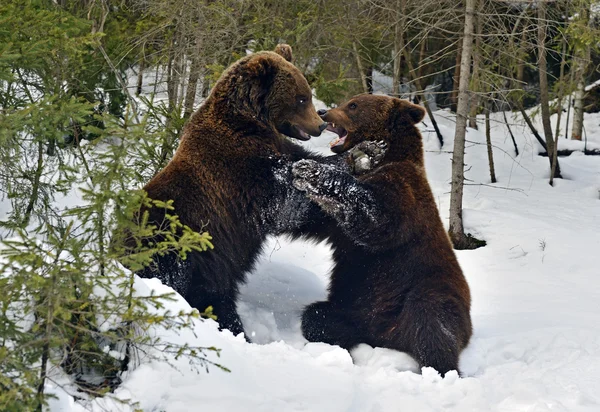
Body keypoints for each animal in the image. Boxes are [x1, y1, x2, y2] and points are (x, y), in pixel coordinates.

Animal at [292, 94, 474, 376]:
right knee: (316, 317)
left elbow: (377, 217)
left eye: (353, 105)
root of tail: (387, 337)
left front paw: (311, 170)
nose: (323, 112)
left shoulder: (405, 191)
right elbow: (309, 219)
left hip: (430, 288)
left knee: (432, 320)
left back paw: (440, 369)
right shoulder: (334, 224)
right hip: (355, 305)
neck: (388, 156)